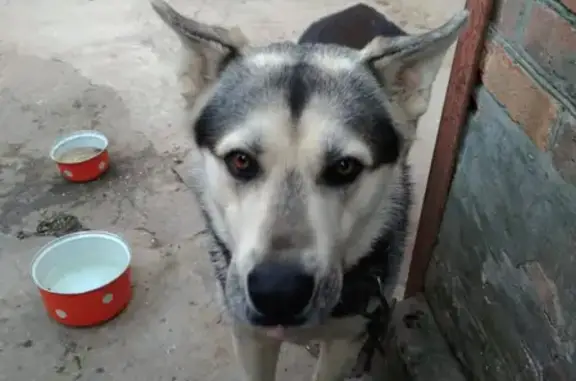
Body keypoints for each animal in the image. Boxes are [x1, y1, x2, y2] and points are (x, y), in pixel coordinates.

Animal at [150, 1, 468, 378]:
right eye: (240, 161)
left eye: (344, 167)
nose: (278, 293)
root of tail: (360, 8)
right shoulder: (249, 336)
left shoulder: (346, 339)